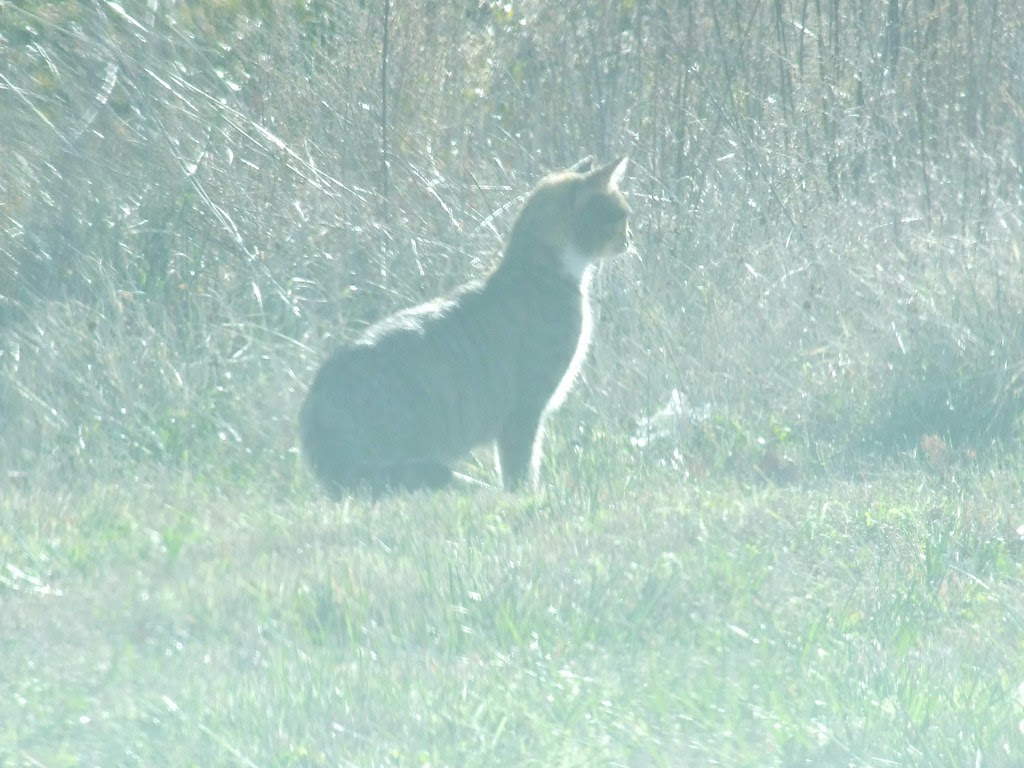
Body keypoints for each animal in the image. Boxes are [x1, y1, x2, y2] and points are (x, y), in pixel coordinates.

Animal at [299, 156, 630, 497]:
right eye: (622, 215)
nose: (630, 238)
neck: (539, 270)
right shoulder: (525, 408)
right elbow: (520, 464)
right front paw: (525, 496)